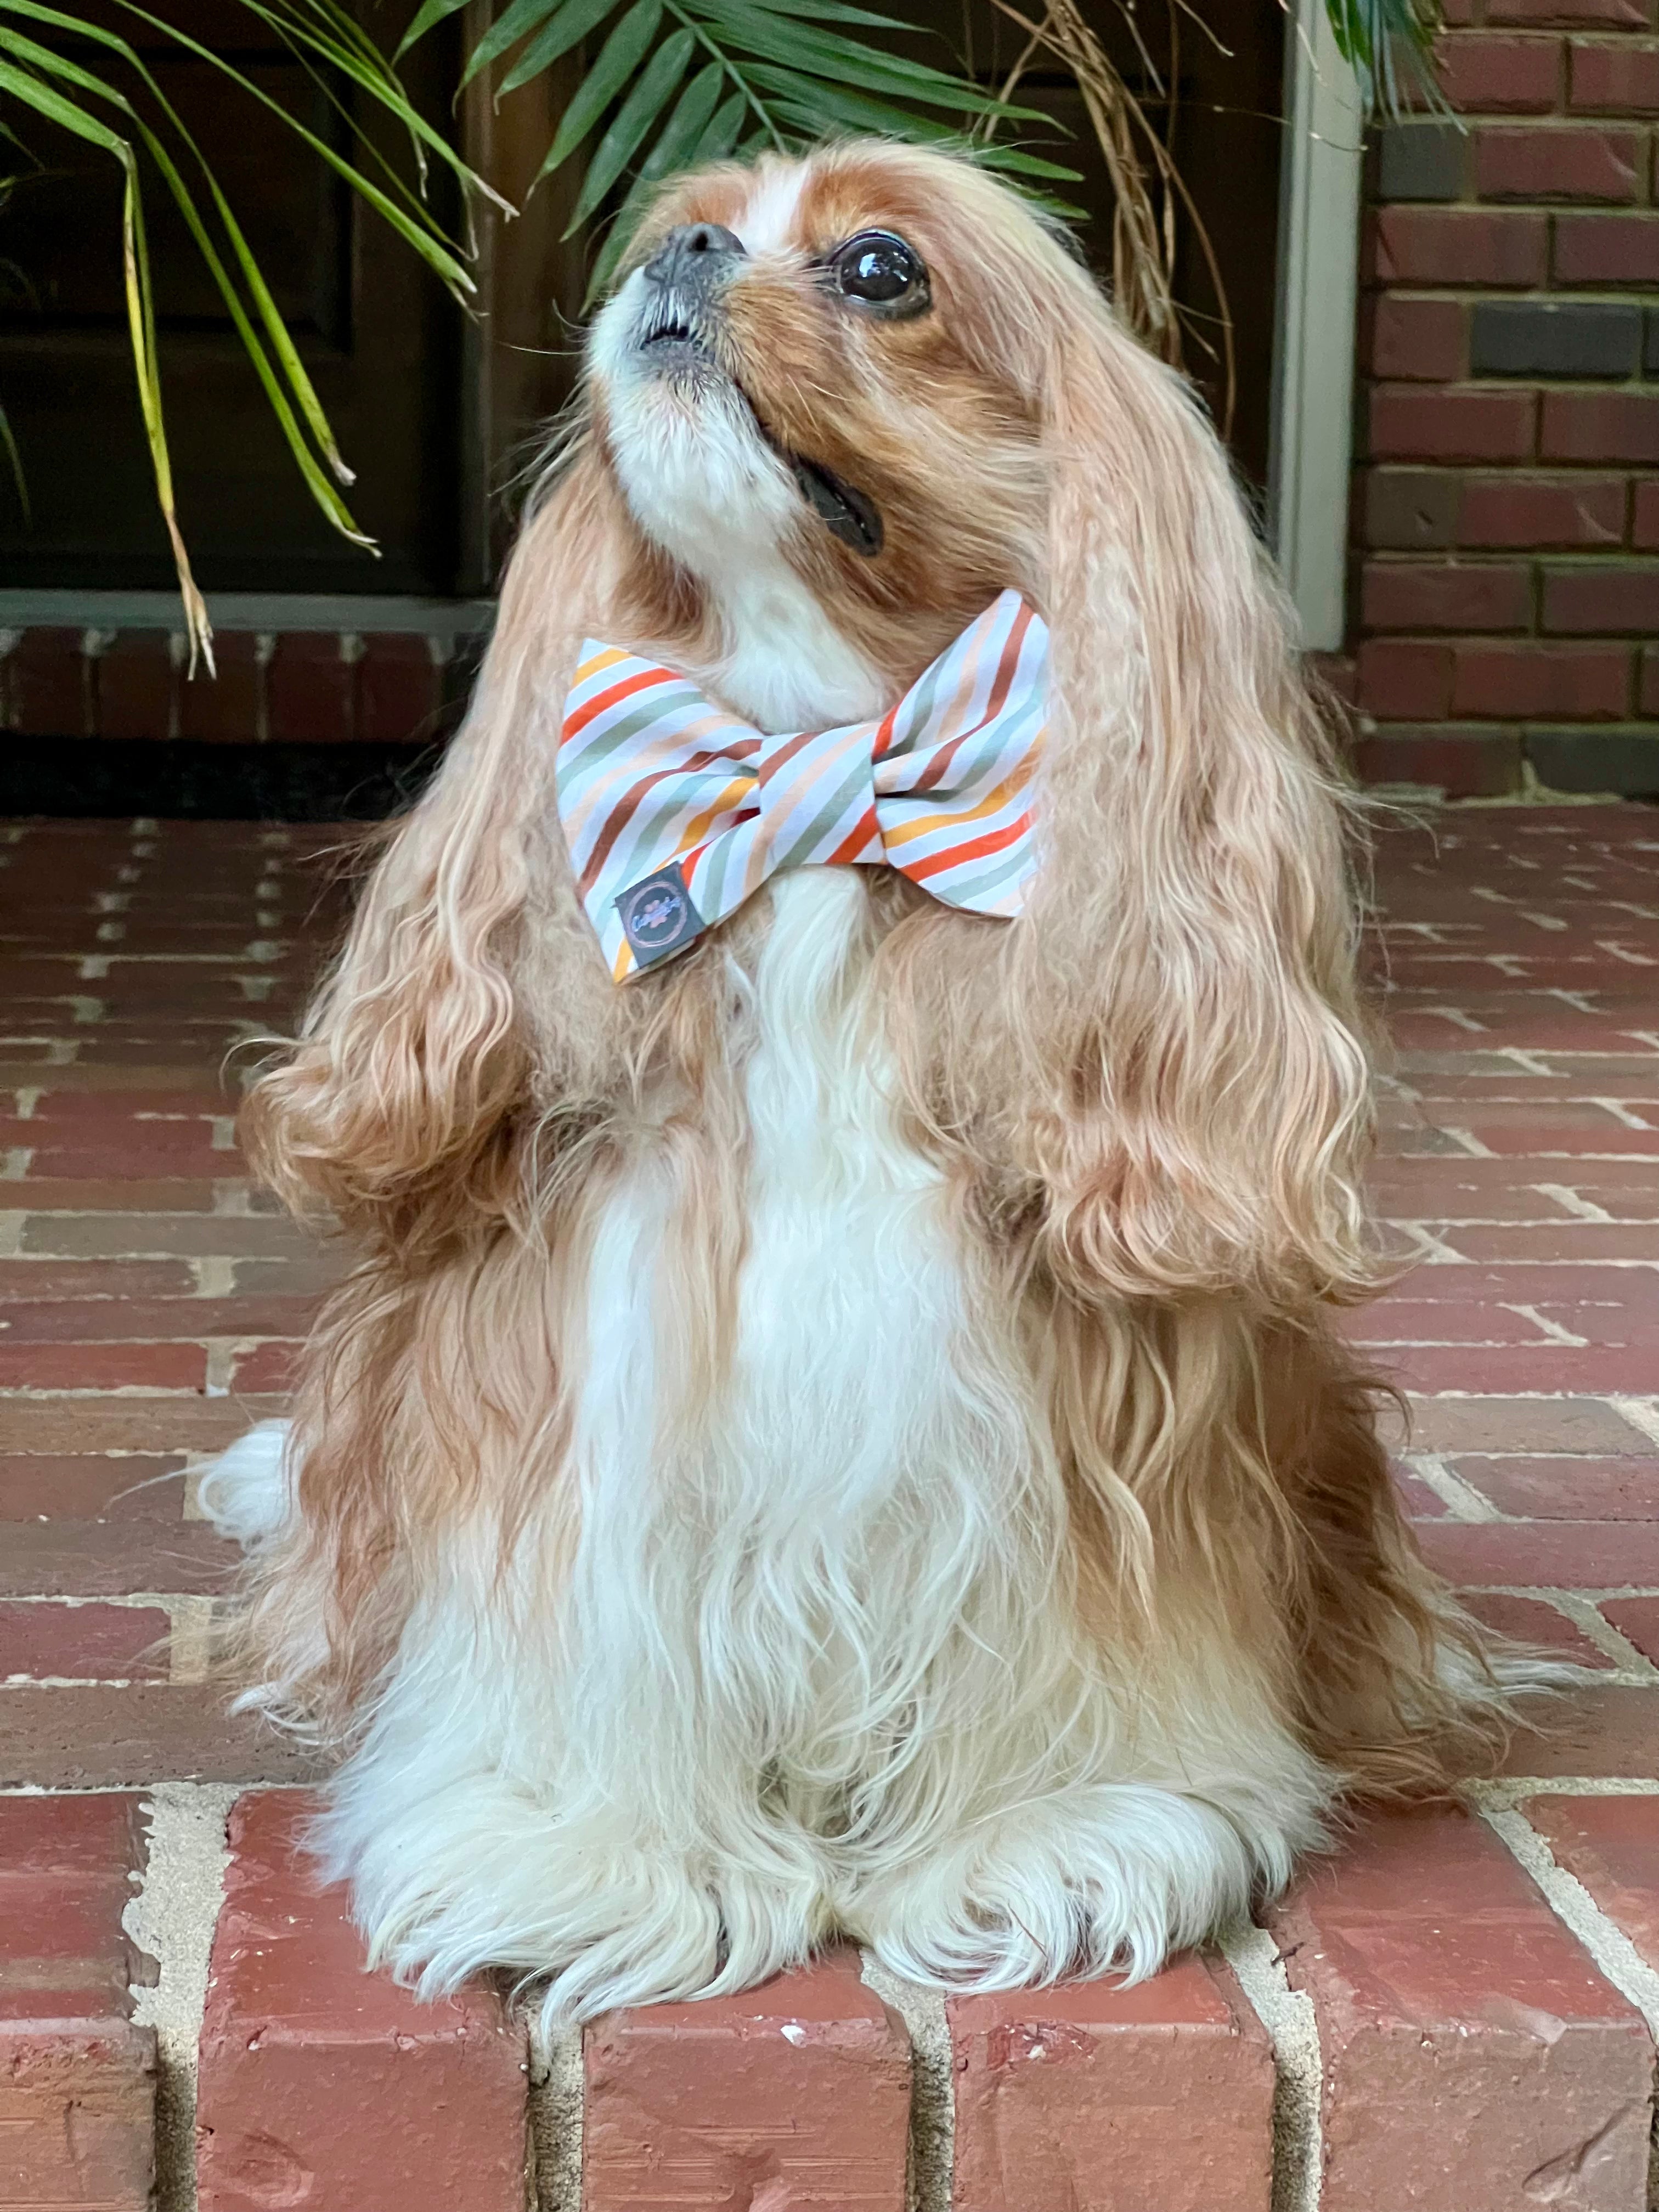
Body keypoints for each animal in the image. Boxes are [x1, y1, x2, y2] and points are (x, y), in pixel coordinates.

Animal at [201, 138, 1531, 2026]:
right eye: (672, 221)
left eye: (883, 269)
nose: (680, 247)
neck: (818, 758)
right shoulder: (594, 1326)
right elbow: (580, 1622)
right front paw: (588, 1847)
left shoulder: (1073, 1391)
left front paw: (1056, 1828)